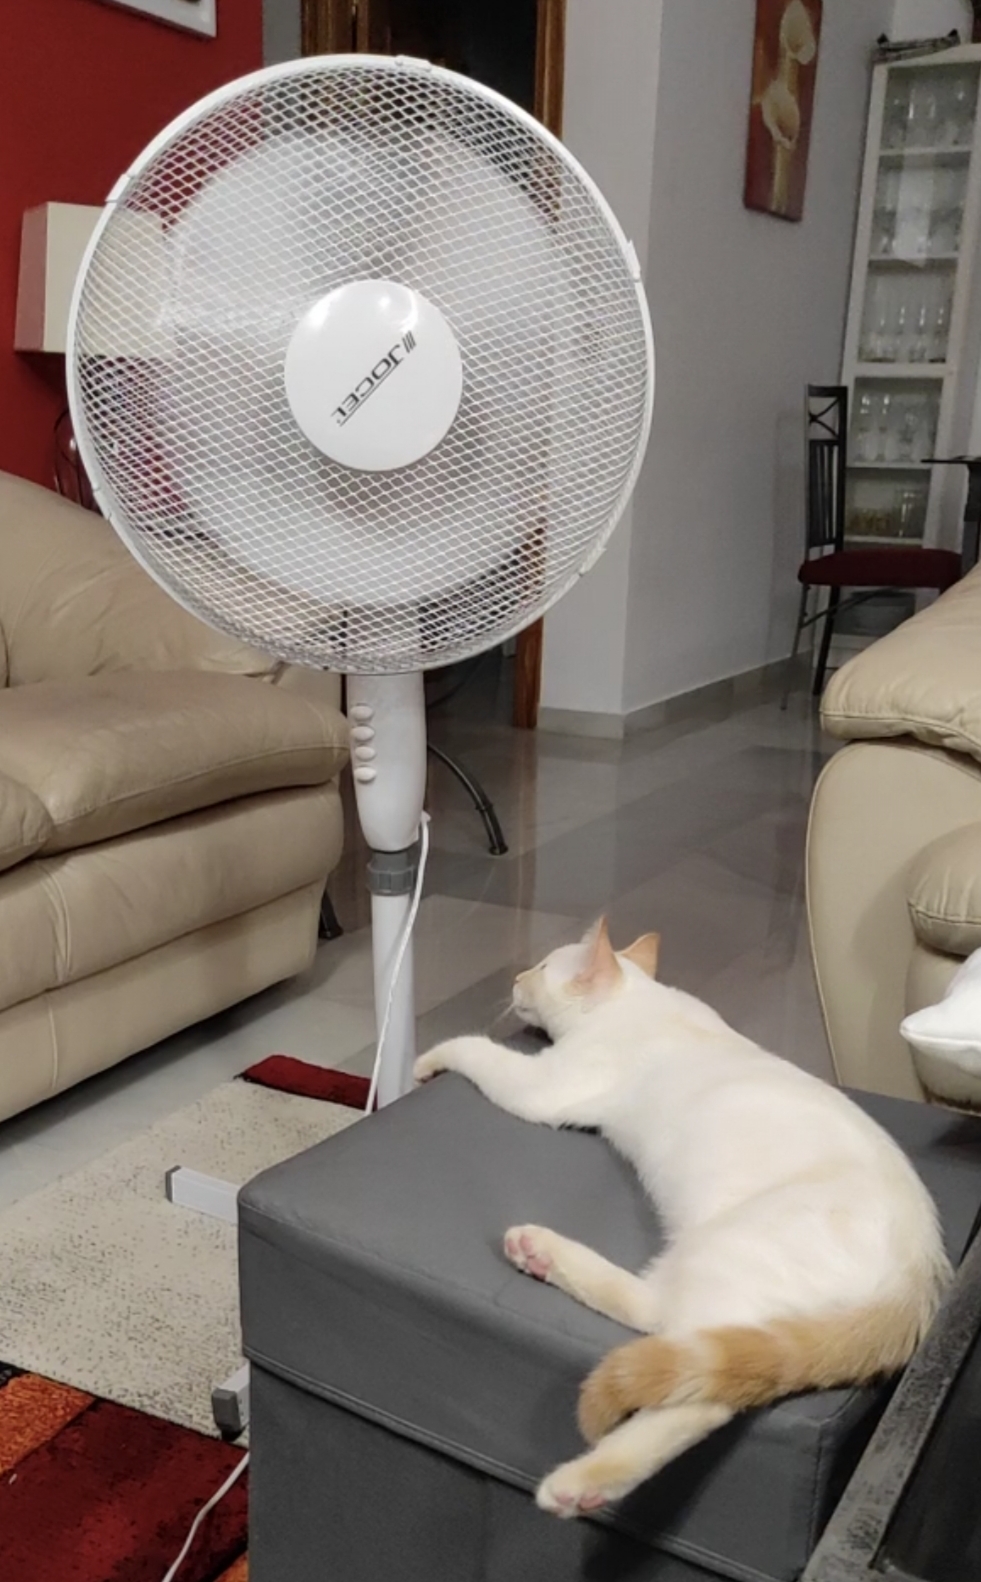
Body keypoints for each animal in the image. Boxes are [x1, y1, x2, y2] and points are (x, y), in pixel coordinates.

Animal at [413, 919, 951, 1520]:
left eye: (544, 967)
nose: (516, 976)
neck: (640, 1000)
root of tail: (918, 1277)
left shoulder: (546, 1088)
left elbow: (477, 1051)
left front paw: (430, 1059)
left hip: (719, 1250)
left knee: (669, 1339)